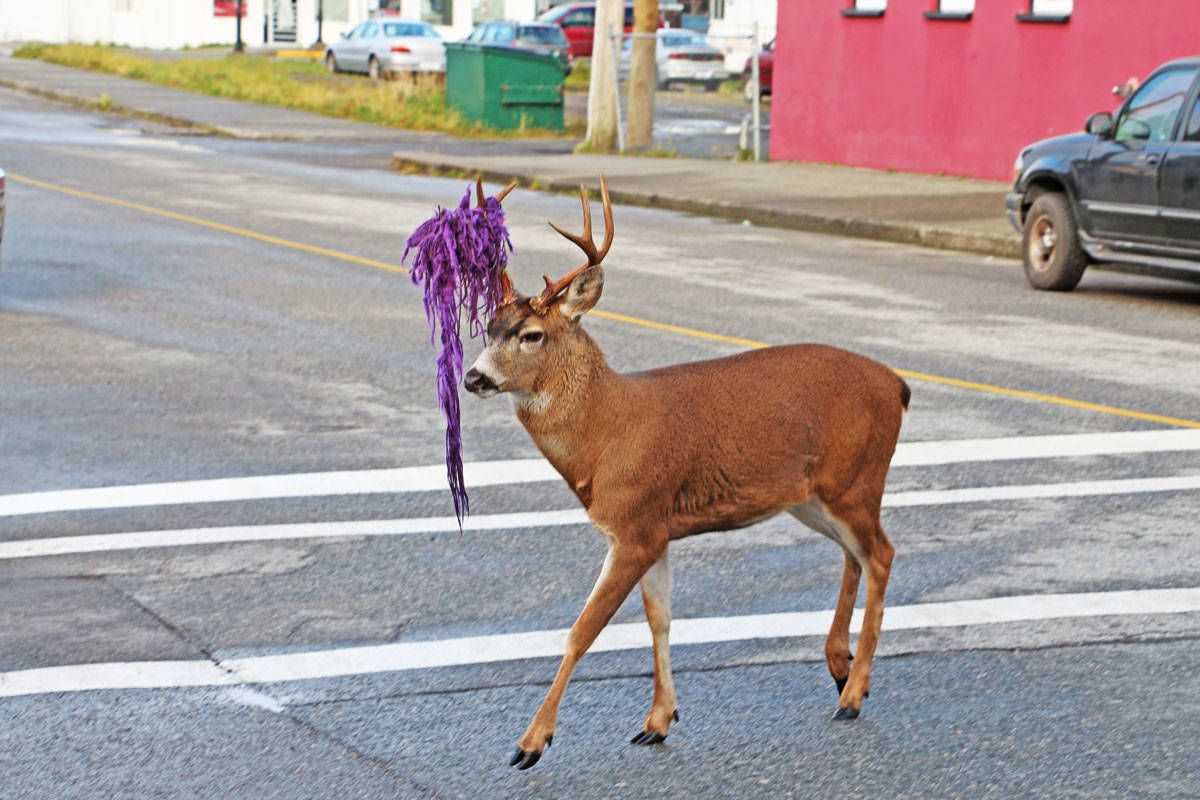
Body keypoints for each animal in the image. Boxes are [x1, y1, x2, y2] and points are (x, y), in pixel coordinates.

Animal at [463, 176, 911, 770]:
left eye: (532, 334)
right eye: (488, 327)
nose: (473, 377)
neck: (607, 431)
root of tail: (898, 386)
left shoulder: (636, 526)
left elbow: (582, 631)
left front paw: (531, 743)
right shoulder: (655, 529)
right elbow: (660, 619)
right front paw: (657, 722)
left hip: (856, 479)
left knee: (880, 553)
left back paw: (854, 694)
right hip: (811, 495)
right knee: (855, 554)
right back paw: (840, 670)